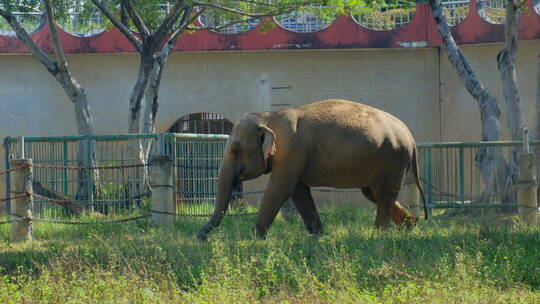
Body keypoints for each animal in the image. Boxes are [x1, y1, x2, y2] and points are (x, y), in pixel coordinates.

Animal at [197, 98, 426, 240]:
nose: (200, 237)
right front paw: (318, 236)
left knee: (383, 194)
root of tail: (410, 136)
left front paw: (252, 238)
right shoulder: (295, 157)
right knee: (374, 194)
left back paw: (378, 235)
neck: (270, 116)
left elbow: (280, 189)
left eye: (236, 149)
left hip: (392, 158)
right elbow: (298, 192)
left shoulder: (292, 150)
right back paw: (412, 227)